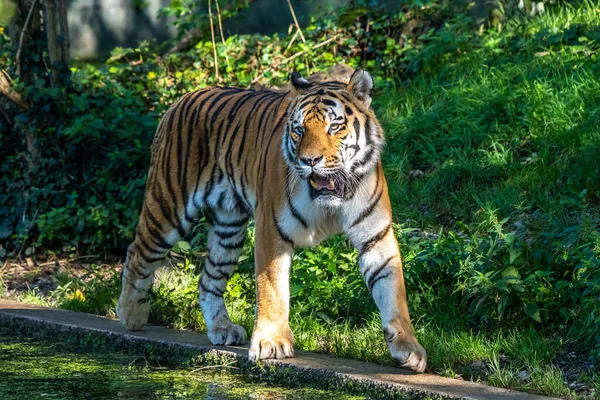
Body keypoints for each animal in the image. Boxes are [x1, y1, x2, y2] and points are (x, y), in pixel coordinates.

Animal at [116, 68, 426, 372]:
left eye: (335, 127)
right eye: (299, 129)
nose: (309, 160)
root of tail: (183, 98)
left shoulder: (376, 234)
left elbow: (393, 289)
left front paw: (408, 348)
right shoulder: (271, 228)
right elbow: (272, 289)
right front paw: (272, 343)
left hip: (228, 230)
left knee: (208, 278)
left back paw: (222, 328)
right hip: (169, 207)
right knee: (138, 252)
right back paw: (131, 314)